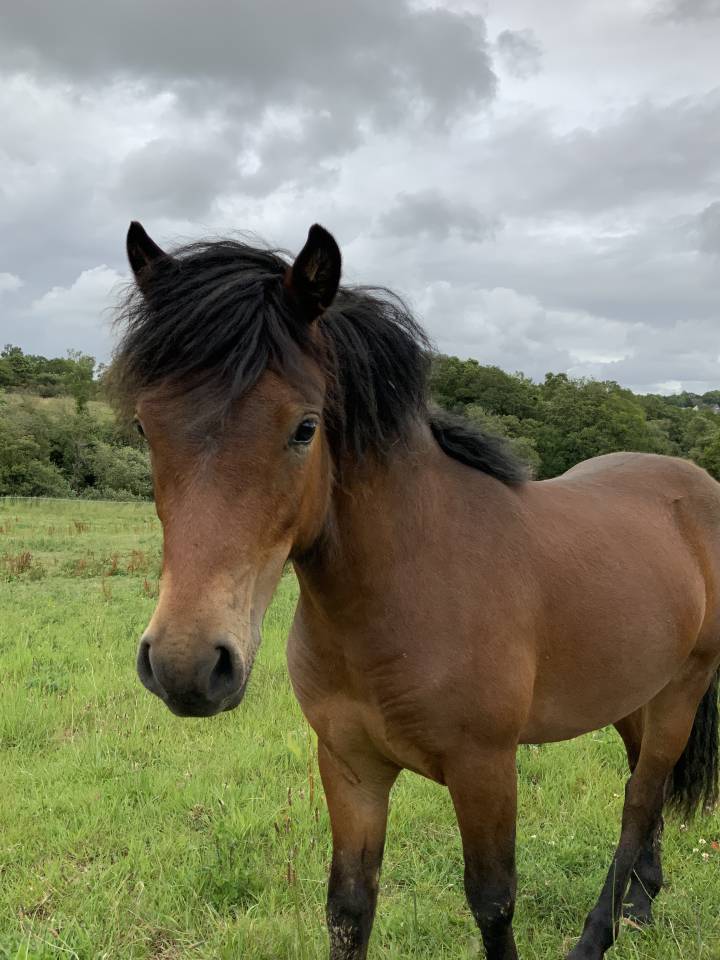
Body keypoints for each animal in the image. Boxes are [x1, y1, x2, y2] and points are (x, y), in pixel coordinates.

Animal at [116, 220, 720, 960]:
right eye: (146, 426)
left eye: (305, 427)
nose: (188, 664)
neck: (406, 590)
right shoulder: (350, 767)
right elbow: (349, 907)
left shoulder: (484, 769)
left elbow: (493, 903)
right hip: (635, 693)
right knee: (646, 791)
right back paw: (639, 908)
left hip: (682, 692)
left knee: (638, 801)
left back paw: (596, 936)